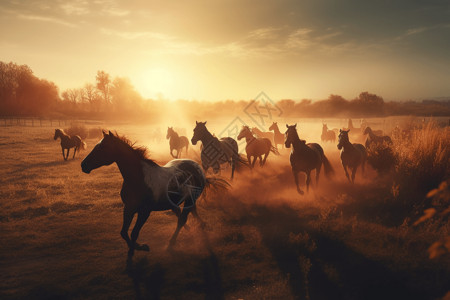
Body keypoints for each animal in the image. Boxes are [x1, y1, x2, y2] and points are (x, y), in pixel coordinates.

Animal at [81, 130, 229, 262]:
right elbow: (124, 232)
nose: (83, 165)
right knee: (185, 213)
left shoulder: (144, 211)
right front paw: (134, 249)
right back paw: (197, 227)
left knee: (182, 219)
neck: (138, 178)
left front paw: (140, 248)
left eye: (102, 147)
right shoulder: (128, 208)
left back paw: (172, 243)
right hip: (179, 202)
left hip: (188, 200)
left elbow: (134, 233)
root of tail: (197, 167)